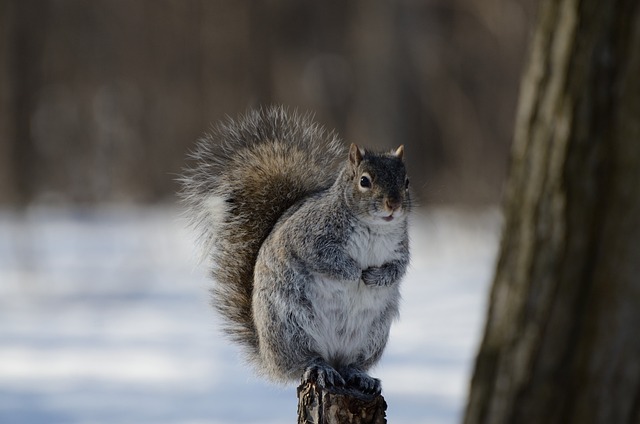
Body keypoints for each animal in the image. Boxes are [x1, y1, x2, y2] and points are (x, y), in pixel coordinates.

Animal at [180, 106, 410, 394]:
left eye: (406, 182)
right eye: (364, 181)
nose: (393, 205)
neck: (375, 227)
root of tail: (269, 358)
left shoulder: (401, 249)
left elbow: (398, 269)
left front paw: (377, 277)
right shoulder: (308, 238)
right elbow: (326, 260)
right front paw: (354, 272)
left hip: (372, 337)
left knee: (351, 364)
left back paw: (359, 375)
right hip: (292, 326)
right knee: (305, 361)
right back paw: (320, 368)